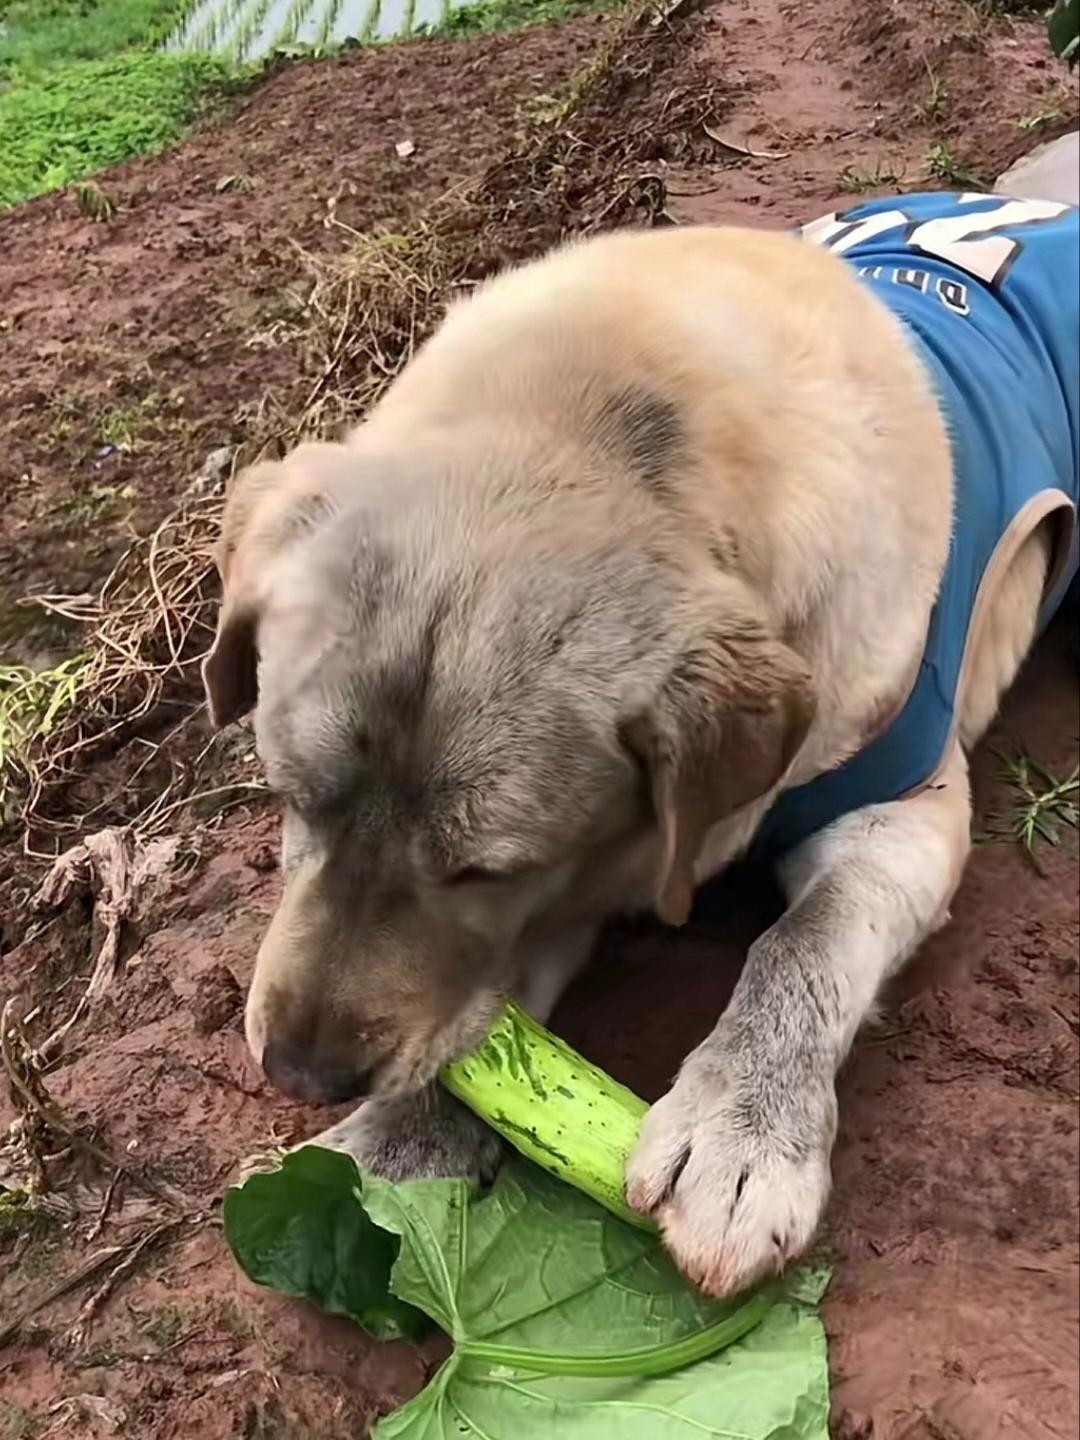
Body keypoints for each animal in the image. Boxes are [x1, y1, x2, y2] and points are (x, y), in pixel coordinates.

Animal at [204, 151, 1080, 1301]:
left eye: (483, 869)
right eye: (288, 799)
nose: (303, 1073)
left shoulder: (902, 810)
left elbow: (804, 942)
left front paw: (741, 1130)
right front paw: (398, 1139)